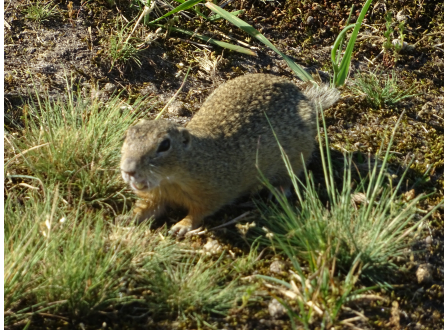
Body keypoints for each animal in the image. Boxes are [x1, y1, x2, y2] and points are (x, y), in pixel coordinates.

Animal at [121, 73, 338, 236]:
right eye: (128, 134)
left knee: (290, 177)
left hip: (295, 158)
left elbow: (199, 213)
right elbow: (145, 208)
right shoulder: (157, 196)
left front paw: (181, 226)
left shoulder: (212, 194)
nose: (128, 170)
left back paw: (277, 192)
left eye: (165, 145)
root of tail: (307, 101)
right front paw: (125, 217)